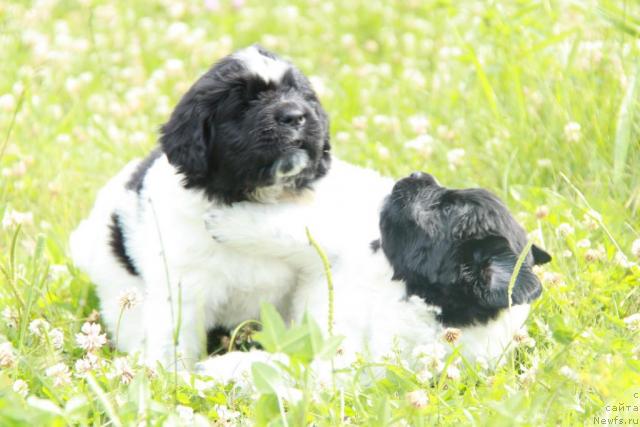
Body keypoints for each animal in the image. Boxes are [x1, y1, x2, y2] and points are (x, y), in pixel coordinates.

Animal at [69, 46, 330, 368]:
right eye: (244, 104)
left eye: (301, 95)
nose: (295, 116)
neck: (252, 202)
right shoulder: (183, 286)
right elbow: (174, 337)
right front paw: (171, 374)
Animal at [199, 168, 552, 382]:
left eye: (445, 208)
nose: (416, 174)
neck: (399, 291)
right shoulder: (339, 257)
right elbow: (298, 233)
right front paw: (230, 221)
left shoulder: (341, 363)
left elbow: (275, 367)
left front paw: (213, 370)